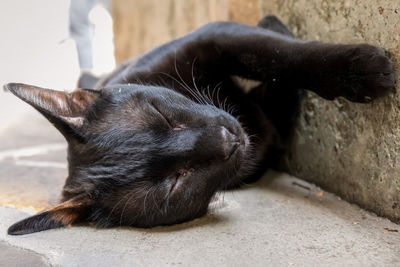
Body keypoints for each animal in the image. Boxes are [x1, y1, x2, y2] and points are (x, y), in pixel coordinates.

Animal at [5, 15, 394, 236]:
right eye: (176, 183)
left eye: (160, 114)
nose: (226, 139)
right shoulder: (267, 136)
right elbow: (280, 76)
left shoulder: (214, 37)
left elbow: (277, 54)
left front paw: (359, 70)